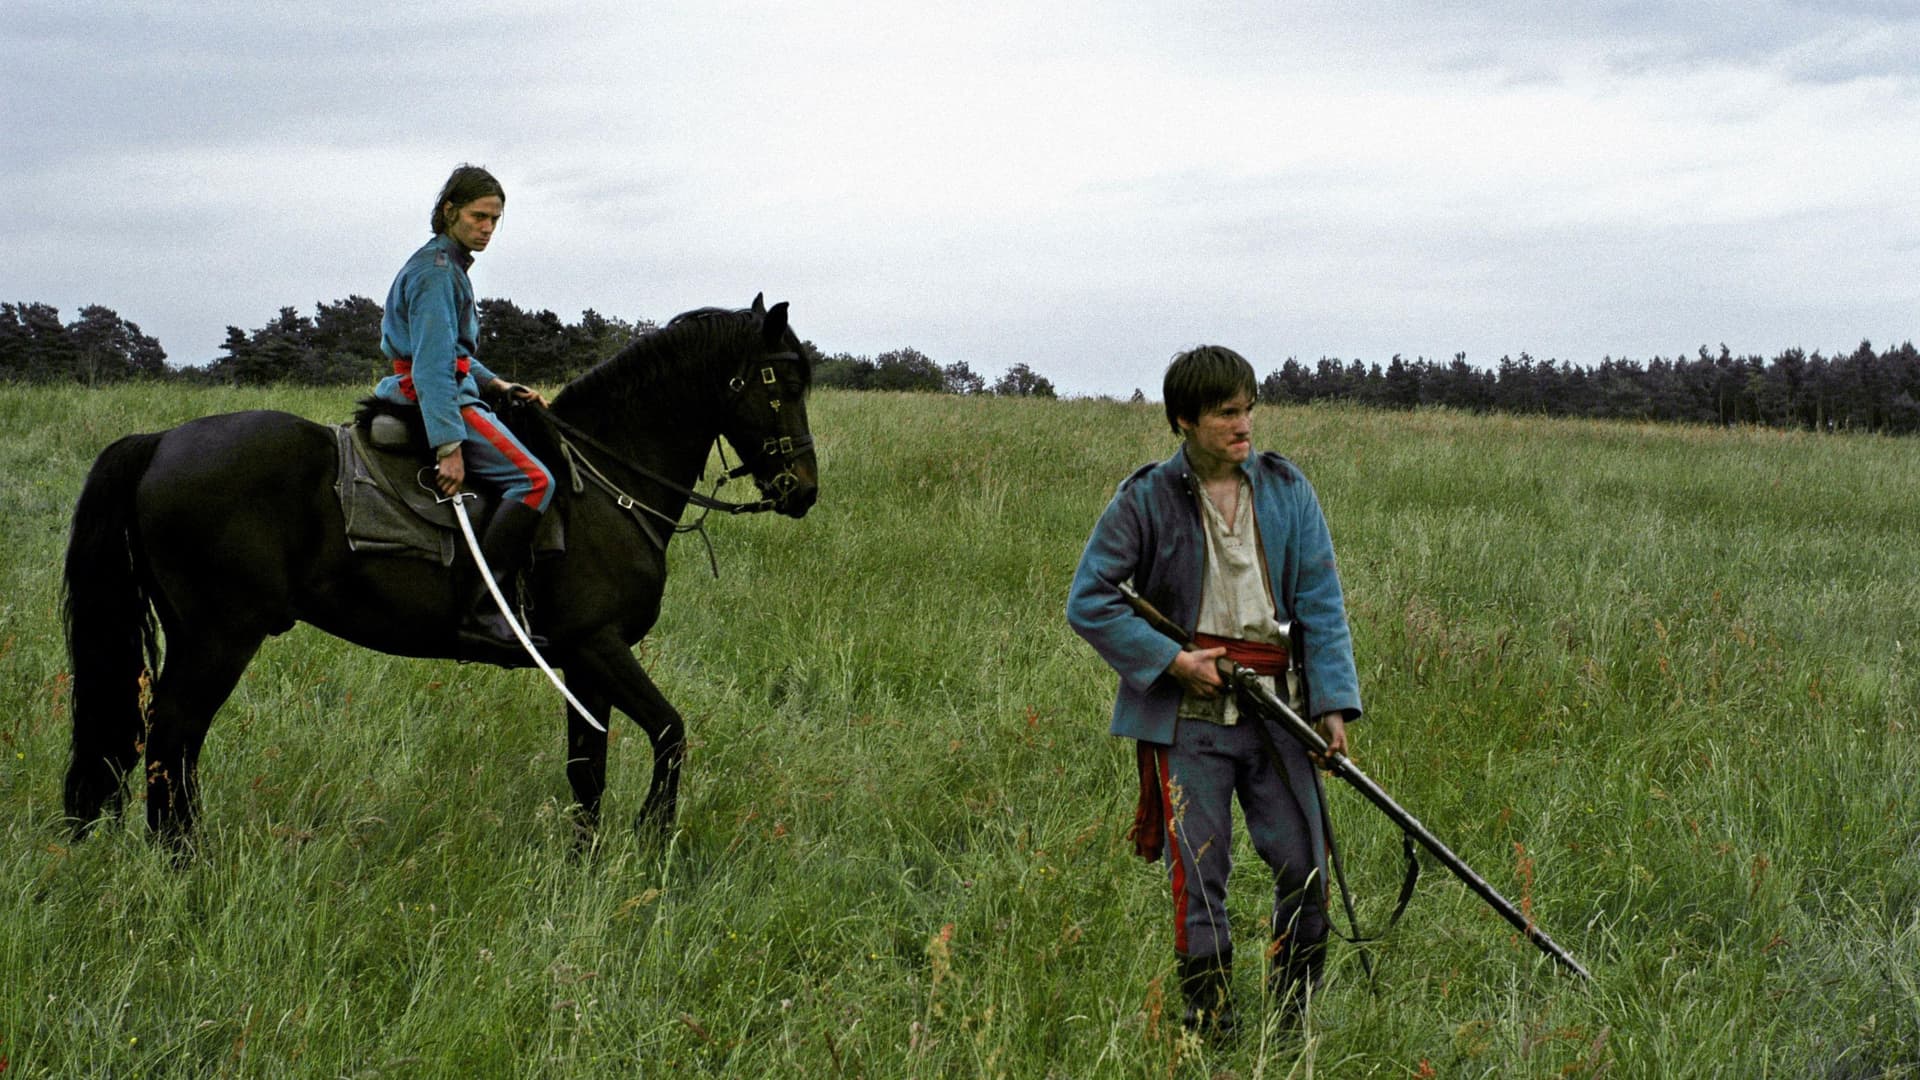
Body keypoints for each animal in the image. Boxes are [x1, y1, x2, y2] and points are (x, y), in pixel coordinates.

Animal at [61, 294, 816, 848]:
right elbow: (669, 732)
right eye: (780, 381)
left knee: (173, 744)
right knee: (172, 738)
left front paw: (586, 863)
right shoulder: (597, 645)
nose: (803, 490)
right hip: (219, 638)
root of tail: (161, 443)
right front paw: (654, 839)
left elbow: (588, 770)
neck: (605, 484)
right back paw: (183, 860)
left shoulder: (583, 664)